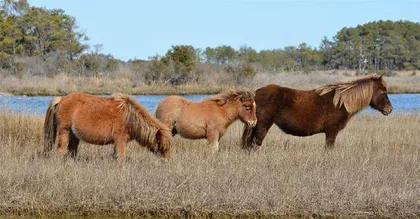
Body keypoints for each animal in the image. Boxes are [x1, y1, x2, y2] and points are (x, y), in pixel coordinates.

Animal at [43, 91, 172, 162]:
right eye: (163, 145)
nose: (166, 161)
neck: (130, 116)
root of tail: (62, 98)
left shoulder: (118, 142)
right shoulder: (120, 140)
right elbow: (120, 157)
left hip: (74, 136)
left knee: (72, 151)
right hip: (64, 131)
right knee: (61, 151)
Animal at [243, 75, 394, 151]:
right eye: (383, 91)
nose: (389, 109)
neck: (341, 102)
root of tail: (256, 94)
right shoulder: (332, 132)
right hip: (263, 126)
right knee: (255, 144)